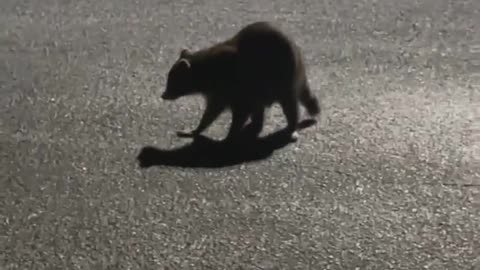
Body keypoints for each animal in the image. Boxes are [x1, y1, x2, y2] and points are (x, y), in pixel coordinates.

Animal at [160, 21, 318, 141]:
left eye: (172, 82)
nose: (163, 95)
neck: (204, 68)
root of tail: (298, 54)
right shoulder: (217, 92)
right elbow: (211, 112)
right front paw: (198, 128)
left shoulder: (232, 84)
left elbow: (238, 112)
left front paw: (230, 134)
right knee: (259, 105)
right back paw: (256, 123)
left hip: (282, 76)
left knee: (289, 105)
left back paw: (291, 126)